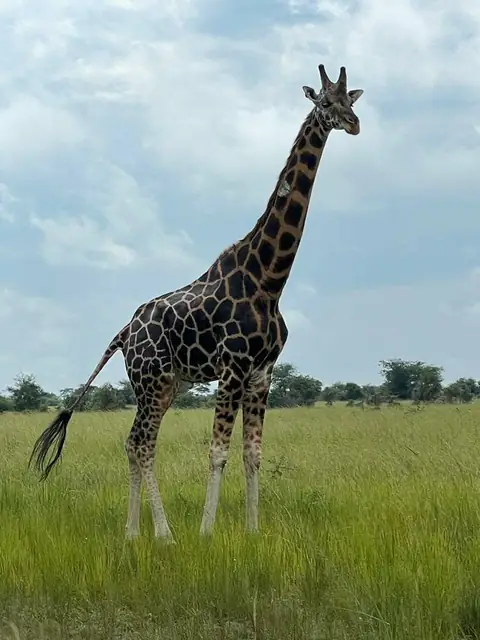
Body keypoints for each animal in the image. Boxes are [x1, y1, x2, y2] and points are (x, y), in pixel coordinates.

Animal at [29, 63, 363, 541]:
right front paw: (207, 532)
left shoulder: (262, 373)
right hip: (151, 380)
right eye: (324, 101)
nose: (353, 124)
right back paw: (164, 534)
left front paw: (252, 531)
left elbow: (252, 454)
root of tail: (124, 332)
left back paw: (133, 532)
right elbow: (218, 452)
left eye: (349, 100)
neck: (270, 279)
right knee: (143, 443)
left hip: (166, 384)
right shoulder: (233, 367)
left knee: (134, 441)